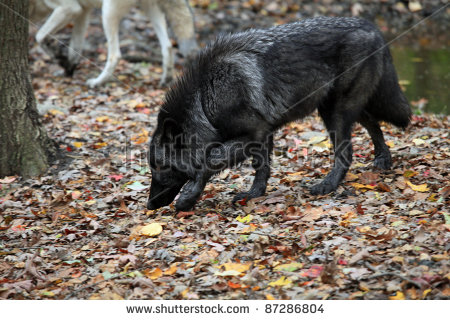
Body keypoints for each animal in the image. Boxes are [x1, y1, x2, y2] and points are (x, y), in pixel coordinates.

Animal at [148, 16, 412, 211]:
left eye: (159, 167)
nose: (149, 205)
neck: (205, 97)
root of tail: (372, 27)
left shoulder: (254, 134)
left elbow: (210, 160)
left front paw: (188, 198)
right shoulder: (263, 134)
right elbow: (261, 168)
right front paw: (254, 194)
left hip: (337, 114)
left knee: (346, 152)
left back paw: (327, 186)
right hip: (333, 108)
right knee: (372, 123)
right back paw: (383, 159)